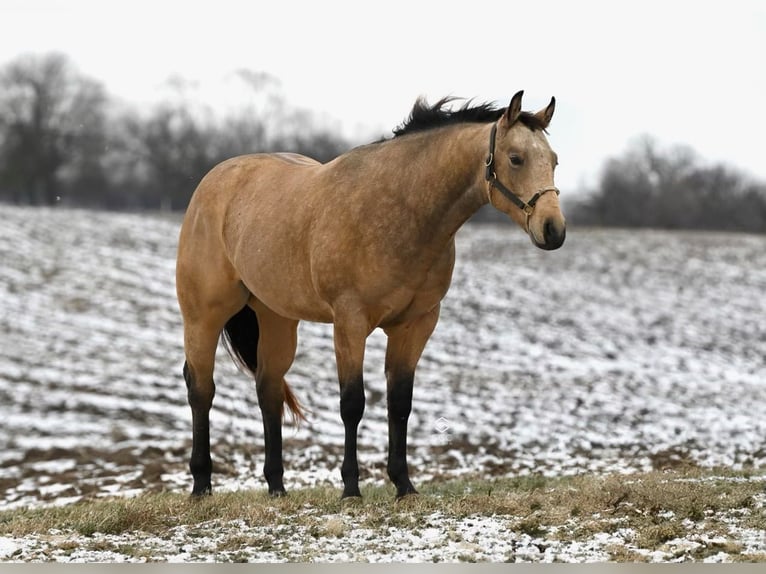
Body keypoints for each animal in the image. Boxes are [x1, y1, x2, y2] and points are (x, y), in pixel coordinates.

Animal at [177, 90, 568, 500]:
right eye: (516, 158)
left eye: (554, 160)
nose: (553, 230)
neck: (400, 210)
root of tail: (213, 182)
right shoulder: (350, 322)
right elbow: (353, 403)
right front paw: (351, 487)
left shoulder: (415, 325)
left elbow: (400, 403)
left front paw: (404, 484)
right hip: (203, 316)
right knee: (201, 388)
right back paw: (201, 484)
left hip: (276, 318)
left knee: (268, 387)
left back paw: (277, 487)